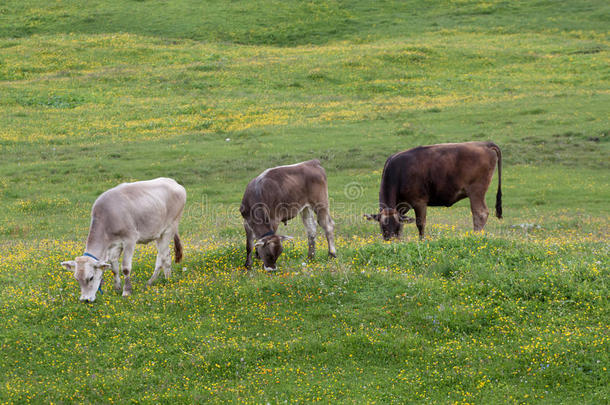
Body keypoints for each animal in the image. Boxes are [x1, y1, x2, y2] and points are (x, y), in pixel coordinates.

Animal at [366, 141, 498, 238]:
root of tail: (484, 144)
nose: (391, 241)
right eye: (383, 227)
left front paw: (422, 240)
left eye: (396, 226)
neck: (398, 172)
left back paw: (476, 236)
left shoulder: (419, 202)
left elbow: (420, 224)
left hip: (476, 191)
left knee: (479, 213)